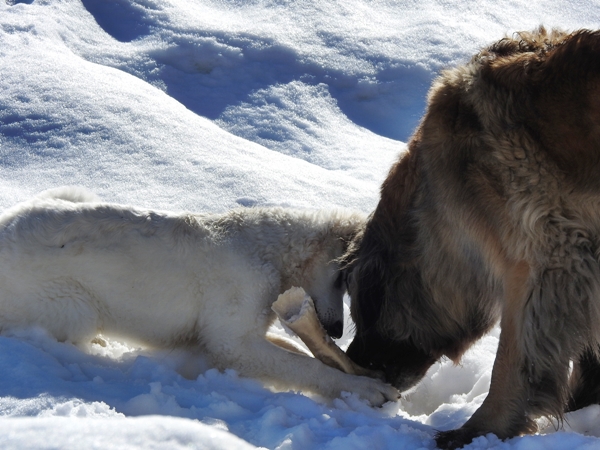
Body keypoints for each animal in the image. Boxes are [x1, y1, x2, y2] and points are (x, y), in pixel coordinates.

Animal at [0, 188, 396, 406]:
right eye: (343, 279)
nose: (336, 331)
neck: (270, 252)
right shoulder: (232, 343)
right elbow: (306, 366)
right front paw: (364, 389)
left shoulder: (234, 334)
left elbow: (297, 352)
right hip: (74, 307)